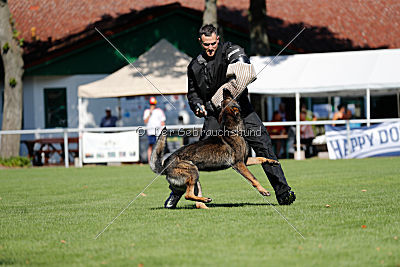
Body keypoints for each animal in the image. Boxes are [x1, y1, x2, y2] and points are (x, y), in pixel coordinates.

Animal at [150, 89, 278, 208]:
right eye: (229, 98)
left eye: (224, 100)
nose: (225, 89)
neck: (233, 130)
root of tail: (165, 165)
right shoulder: (239, 164)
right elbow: (253, 178)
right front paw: (263, 191)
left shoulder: (245, 161)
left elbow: (261, 158)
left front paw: (272, 161)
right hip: (193, 172)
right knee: (187, 195)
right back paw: (205, 200)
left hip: (196, 180)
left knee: (192, 197)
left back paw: (204, 203)